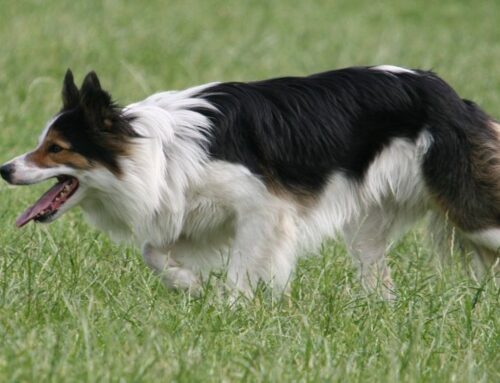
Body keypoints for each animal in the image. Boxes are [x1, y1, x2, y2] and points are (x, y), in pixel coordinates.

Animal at [0, 67, 500, 300]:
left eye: (56, 148)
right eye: (43, 143)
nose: (5, 169)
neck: (160, 150)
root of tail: (450, 95)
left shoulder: (264, 209)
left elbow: (243, 267)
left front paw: (230, 307)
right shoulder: (193, 214)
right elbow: (152, 251)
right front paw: (189, 286)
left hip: (470, 208)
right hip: (367, 230)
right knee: (378, 275)